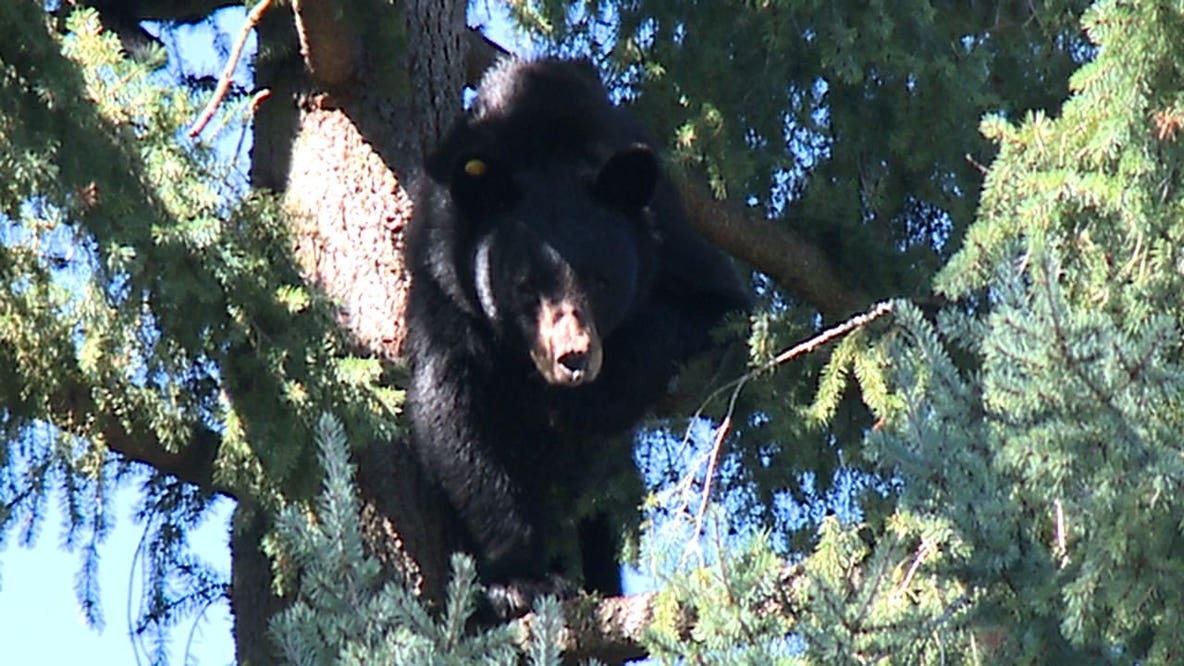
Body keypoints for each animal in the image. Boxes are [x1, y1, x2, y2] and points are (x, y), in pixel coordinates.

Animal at [405, 58, 750, 616]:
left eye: (600, 280)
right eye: (525, 287)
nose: (573, 358)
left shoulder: (671, 239)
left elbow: (718, 316)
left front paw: (586, 402)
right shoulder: (444, 282)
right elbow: (454, 417)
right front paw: (519, 578)